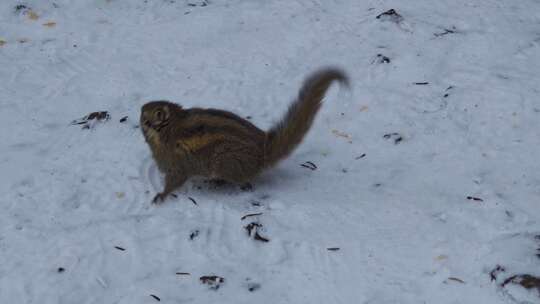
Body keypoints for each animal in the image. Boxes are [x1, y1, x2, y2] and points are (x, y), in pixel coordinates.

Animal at [141, 67, 348, 203]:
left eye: (145, 120)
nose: (141, 109)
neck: (170, 127)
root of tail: (263, 151)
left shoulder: (177, 164)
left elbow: (174, 181)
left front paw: (162, 195)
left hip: (224, 160)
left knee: (245, 180)